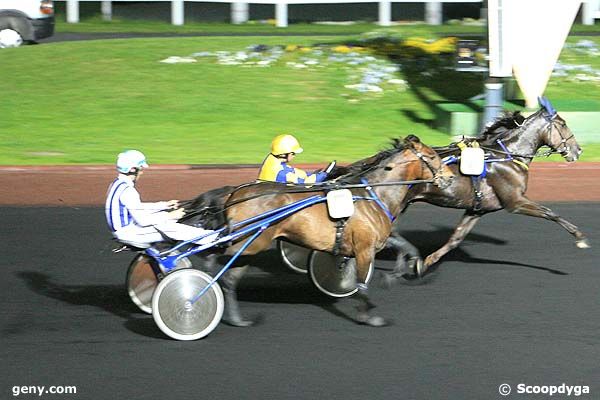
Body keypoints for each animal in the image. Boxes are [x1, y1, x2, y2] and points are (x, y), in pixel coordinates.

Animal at [185, 136, 452, 326]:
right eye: (432, 156)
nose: (449, 178)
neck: (373, 194)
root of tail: (234, 195)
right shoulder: (364, 248)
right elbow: (362, 283)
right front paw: (369, 316)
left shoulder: (375, 241)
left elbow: (406, 247)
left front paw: (400, 272)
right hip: (249, 243)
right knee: (220, 266)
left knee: (221, 267)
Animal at [400, 98, 584, 274]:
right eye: (563, 124)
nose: (578, 150)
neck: (508, 156)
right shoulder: (515, 202)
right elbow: (550, 213)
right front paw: (579, 236)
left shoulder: (477, 209)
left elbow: (455, 239)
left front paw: (425, 263)